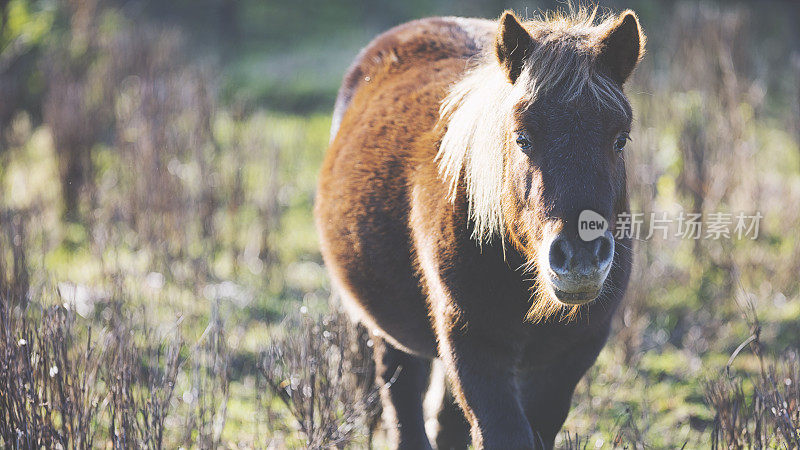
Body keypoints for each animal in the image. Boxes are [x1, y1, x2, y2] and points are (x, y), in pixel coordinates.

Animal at [314, 7, 644, 450]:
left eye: (620, 138)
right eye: (522, 139)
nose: (581, 258)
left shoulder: (573, 353)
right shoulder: (472, 342)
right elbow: (503, 432)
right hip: (390, 333)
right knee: (402, 400)